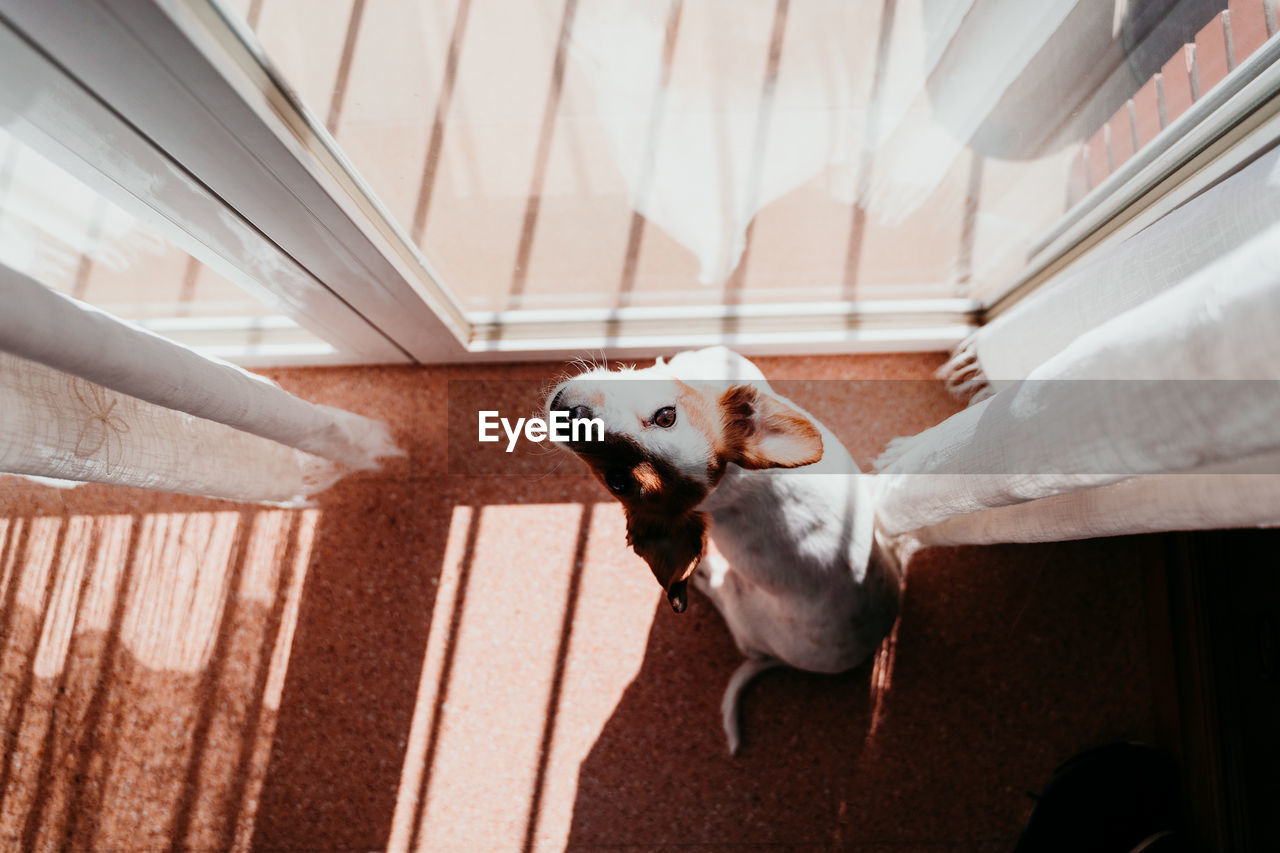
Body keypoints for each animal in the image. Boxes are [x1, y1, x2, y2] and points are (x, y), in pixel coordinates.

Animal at [547, 343, 901, 753]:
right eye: (618, 482)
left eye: (666, 416)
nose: (572, 417)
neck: (734, 478)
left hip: (742, 607)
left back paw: (704, 576)